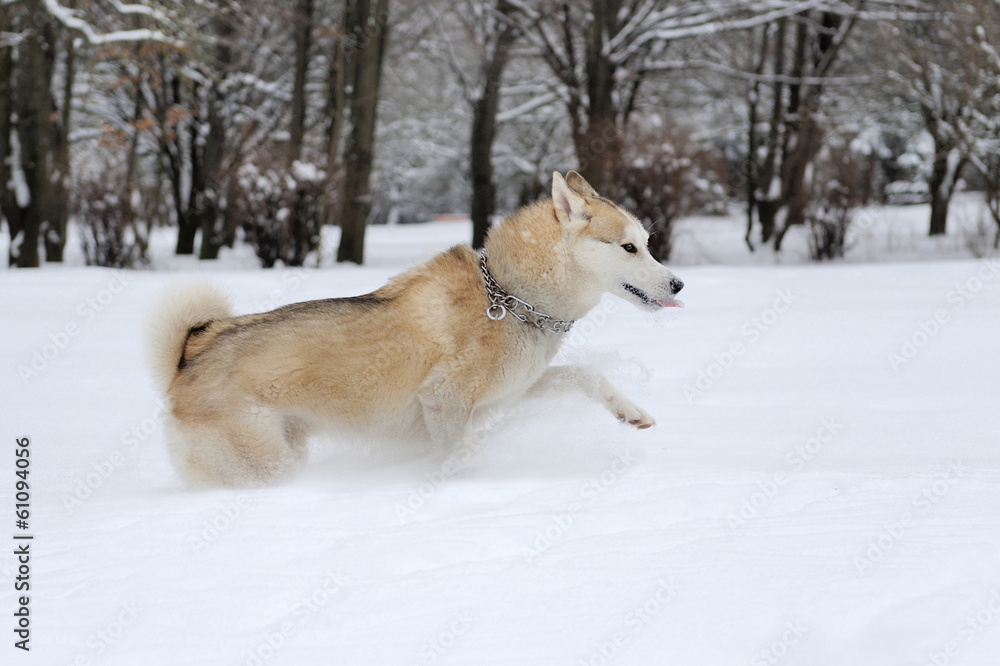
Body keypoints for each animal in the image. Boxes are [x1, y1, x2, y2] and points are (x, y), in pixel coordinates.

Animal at [146, 171, 680, 482]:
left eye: (648, 243)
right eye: (629, 247)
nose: (677, 283)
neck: (510, 296)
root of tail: (187, 358)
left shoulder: (511, 392)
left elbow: (586, 375)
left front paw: (631, 413)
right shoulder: (444, 402)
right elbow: (458, 458)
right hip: (267, 466)